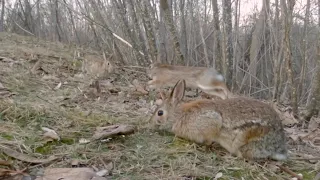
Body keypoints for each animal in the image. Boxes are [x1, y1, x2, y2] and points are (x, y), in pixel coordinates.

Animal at [150, 79, 288, 161]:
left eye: (160, 113)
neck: (178, 116)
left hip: (247, 138)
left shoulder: (212, 121)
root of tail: (278, 146)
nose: (151, 124)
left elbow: (209, 138)